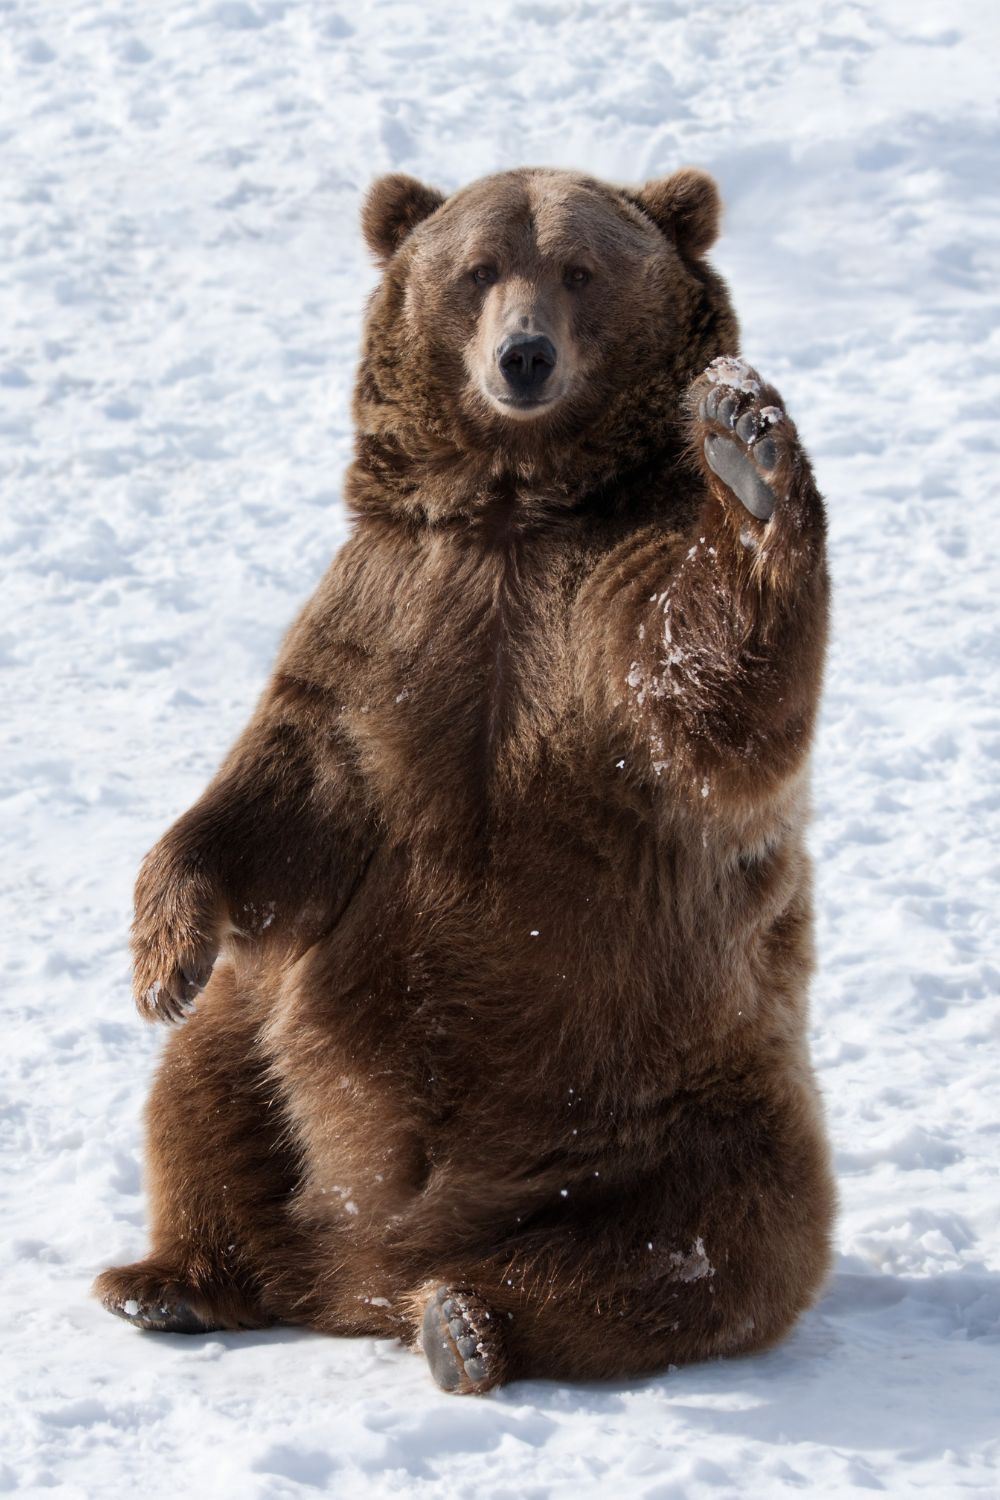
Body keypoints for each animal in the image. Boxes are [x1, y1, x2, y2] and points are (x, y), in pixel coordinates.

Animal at [94, 165, 835, 1395]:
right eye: (478, 267)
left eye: (578, 268)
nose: (523, 356)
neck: (512, 509)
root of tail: (362, 1270)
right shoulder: (391, 612)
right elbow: (284, 785)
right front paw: (162, 956)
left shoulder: (600, 609)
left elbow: (710, 696)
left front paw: (744, 445)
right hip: (271, 1045)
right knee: (204, 1095)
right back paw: (173, 1278)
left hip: (685, 1100)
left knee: (712, 1242)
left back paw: (469, 1323)